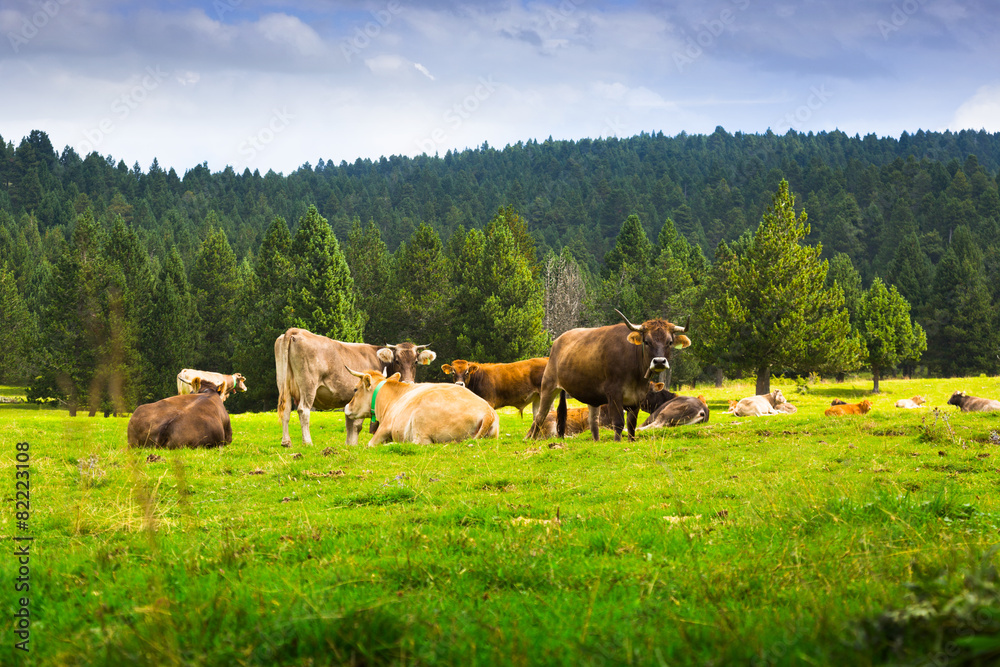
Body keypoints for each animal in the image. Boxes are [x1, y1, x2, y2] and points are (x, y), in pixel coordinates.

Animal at [275, 328, 436, 447]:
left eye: (415, 362)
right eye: (397, 360)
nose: (409, 382)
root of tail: (296, 331)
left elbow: (349, 423)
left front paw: (349, 444)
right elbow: (357, 425)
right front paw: (354, 444)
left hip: (283, 384)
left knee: (286, 410)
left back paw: (286, 442)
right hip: (308, 385)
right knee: (303, 410)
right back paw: (307, 442)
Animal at [344, 369, 498, 445]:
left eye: (355, 389)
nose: (346, 407)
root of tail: (487, 411)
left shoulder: (385, 426)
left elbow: (370, 444)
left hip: (421, 422)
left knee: (419, 443)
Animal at [525, 311, 690, 442]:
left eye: (669, 342)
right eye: (646, 341)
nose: (659, 361)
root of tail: (558, 341)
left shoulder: (637, 397)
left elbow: (631, 424)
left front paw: (631, 441)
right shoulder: (614, 393)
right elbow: (618, 422)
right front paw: (617, 442)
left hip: (591, 396)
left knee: (593, 421)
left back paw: (596, 441)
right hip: (548, 386)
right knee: (540, 415)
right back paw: (532, 439)